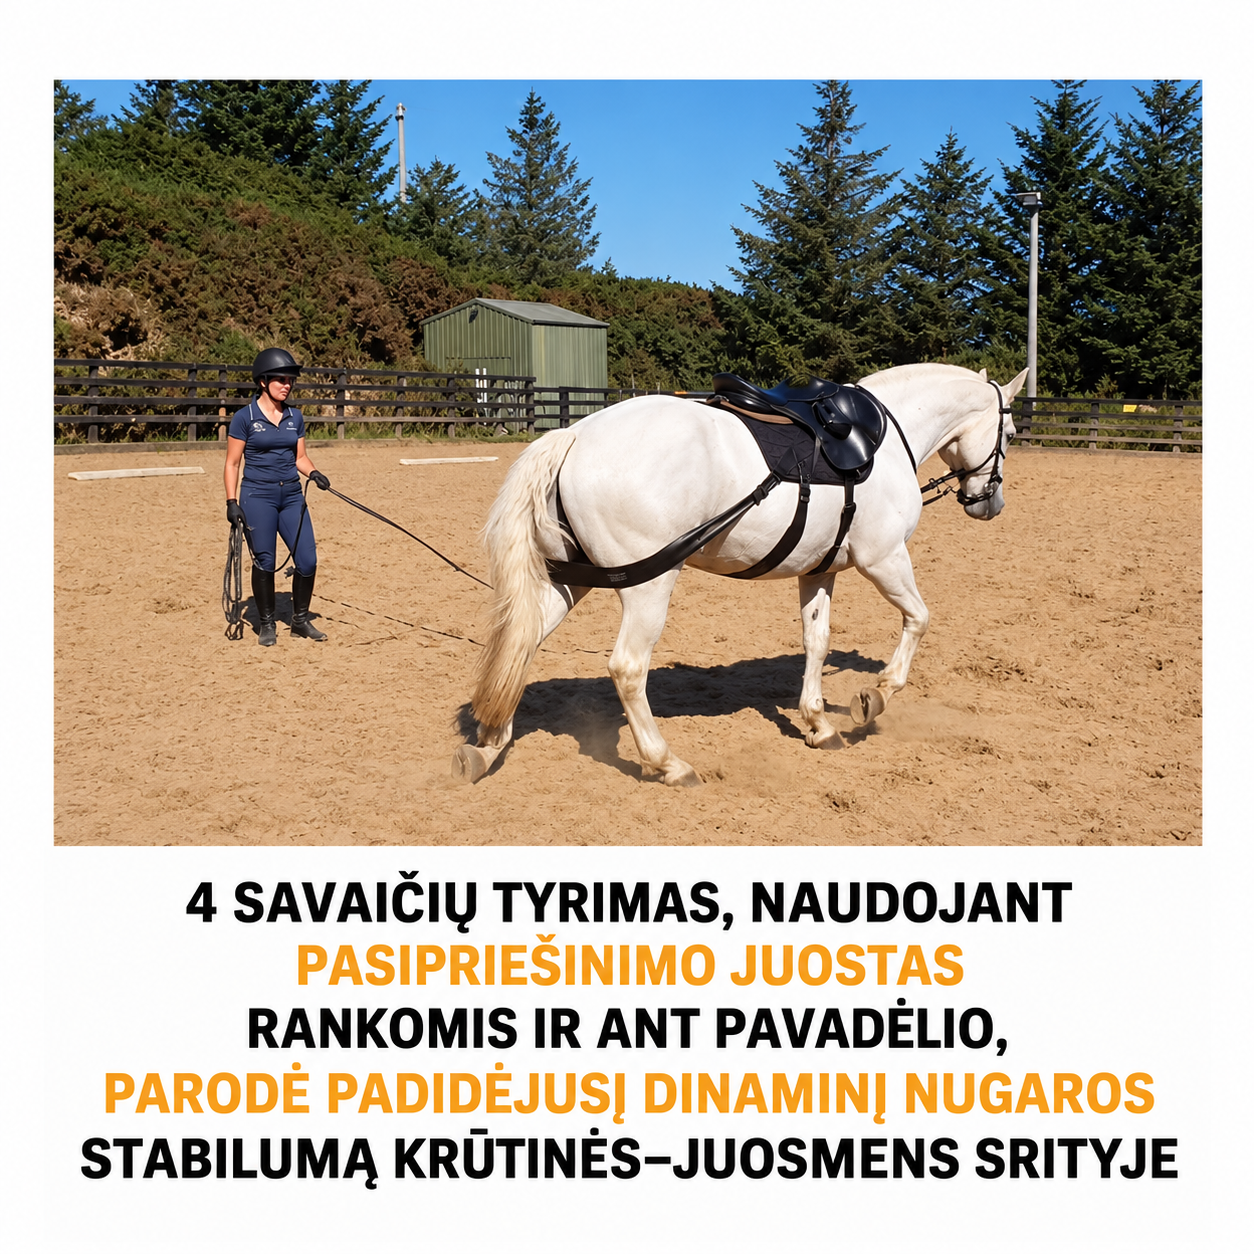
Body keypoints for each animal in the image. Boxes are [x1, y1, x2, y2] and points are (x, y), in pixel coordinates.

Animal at [453, 362, 1029, 786]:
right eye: (1010, 431)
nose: (990, 504)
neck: (882, 438)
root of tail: (574, 435)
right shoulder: (884, 560)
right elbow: (919, 620)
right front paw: (876, 695)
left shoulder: (819, 571)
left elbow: (816, 642)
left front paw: (818, 722)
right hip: (648, 584)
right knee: (627, 669)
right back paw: (667, 763)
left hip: (571, 580)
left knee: (521, 642)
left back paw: (489, 745)